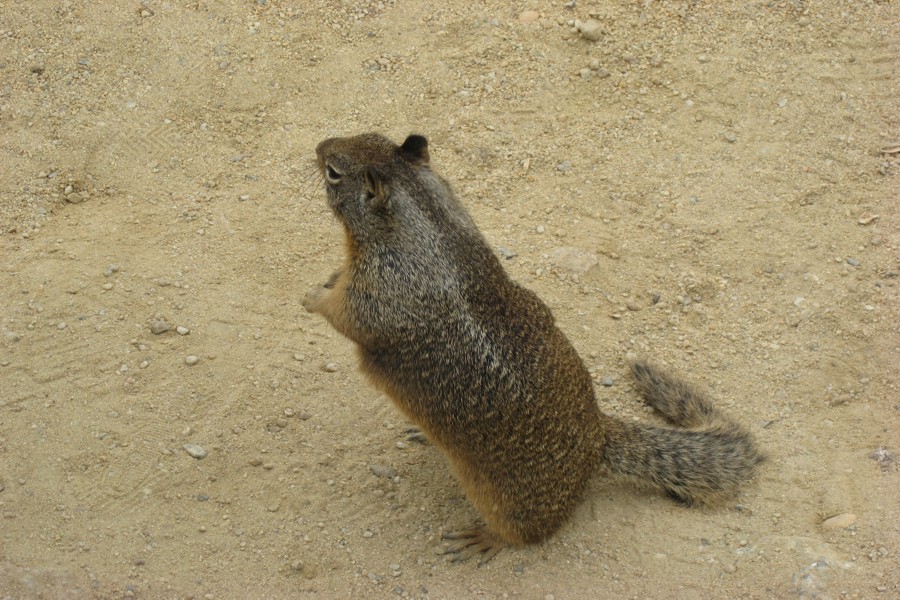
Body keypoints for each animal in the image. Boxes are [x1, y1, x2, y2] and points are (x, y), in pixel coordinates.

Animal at [300, 131, 760, 564]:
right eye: (370, 136)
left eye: (334, 171)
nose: (319, 146)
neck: (430, 228)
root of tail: (598, 440)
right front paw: (327, 278)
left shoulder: (380, 290)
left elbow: (344, 313)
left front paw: (312, 297)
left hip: (509, 505)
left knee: (526, 535)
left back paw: (483, 539)